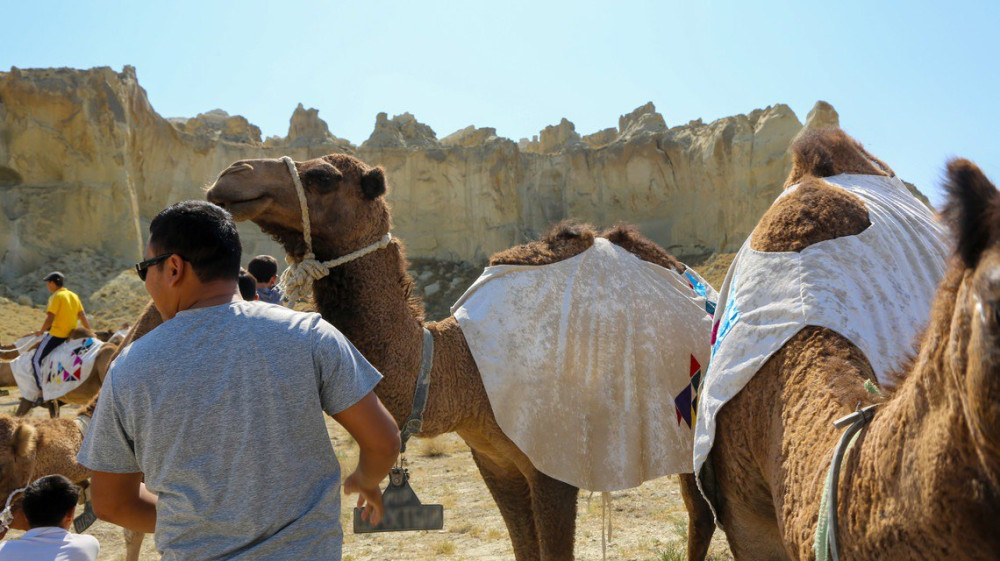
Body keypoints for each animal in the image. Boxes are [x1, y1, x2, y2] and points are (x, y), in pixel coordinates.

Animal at [207, 154, 716, 560]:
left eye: (322, 176)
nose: (230, 176)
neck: (457, 364)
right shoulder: (496, 462)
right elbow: (524, 549)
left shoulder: (554, 461)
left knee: (702, 513)